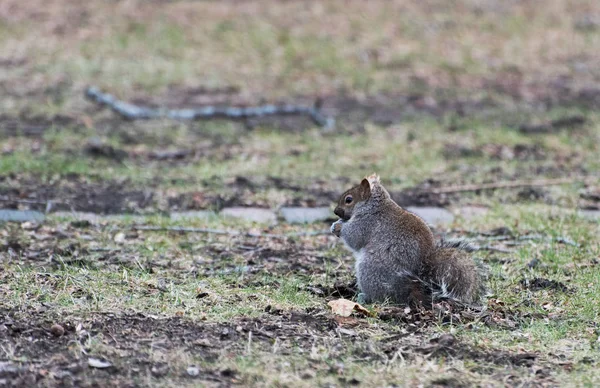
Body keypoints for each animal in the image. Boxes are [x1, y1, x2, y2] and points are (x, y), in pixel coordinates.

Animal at [330, 175, 486, 306]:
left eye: (348, 199)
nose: (336, 211)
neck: (373, 206)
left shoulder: (367, 223)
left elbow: (354, 237)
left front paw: (338, 227)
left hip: (369, 269)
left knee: (382, 296)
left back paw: (365, 297)